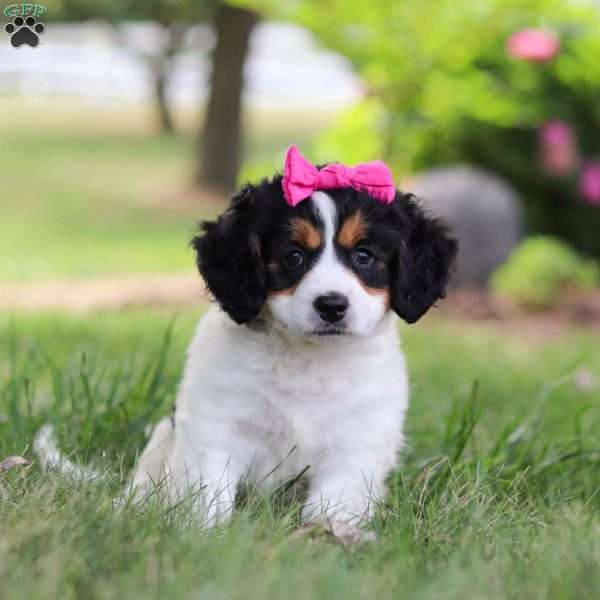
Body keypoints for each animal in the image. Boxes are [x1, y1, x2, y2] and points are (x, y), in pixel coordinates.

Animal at [130, 145, 454, 524]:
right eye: (294, 256)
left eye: (363, 255)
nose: (331, 305)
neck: (308, 358)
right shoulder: (217, 425)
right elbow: (207, 491)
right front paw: (204, 531)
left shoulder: (356, 444)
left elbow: (333, 504)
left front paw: (326, 534)